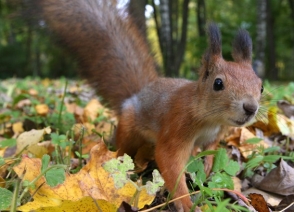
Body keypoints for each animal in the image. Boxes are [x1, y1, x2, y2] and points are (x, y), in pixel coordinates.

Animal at [26, 0, 262, 211]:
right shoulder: (177, 124)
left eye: (260, 86)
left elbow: (210, 149)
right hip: (128, 131)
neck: (209, 118)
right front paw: (186, 202)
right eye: (218, 83)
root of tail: (135, 96)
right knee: (122, 149)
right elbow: (169, 160)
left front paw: (207, 165)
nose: (250, 108)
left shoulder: (217, 134)